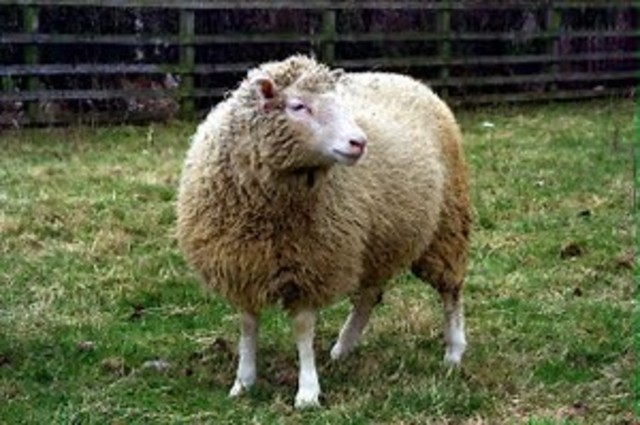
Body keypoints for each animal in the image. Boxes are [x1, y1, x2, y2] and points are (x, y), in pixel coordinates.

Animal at [176, 55, 471, 408]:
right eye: (298, 106)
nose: (359, 143)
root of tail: (405, 78)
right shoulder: (243, 265)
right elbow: (247, 325)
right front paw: (243, 382)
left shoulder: (312, 263)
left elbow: (303, 328)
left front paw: (307, 392)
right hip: (377, 241)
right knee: (369, 295)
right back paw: (343, 348)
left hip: (446, 224)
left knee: (450, 290)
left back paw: (454, 352)